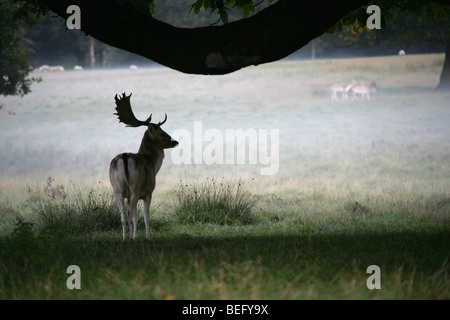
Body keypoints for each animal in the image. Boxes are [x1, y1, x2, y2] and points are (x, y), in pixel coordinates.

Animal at [108, 92, 178, 240]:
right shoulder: (148, 192)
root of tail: (124, 158)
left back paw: (125, 238)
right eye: (162, 133)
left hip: (117, 189)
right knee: (130, 214)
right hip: (135, 187)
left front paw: (134, 236)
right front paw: (147, 236)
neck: (153, 164)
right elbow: (145, 217)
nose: (175, 141)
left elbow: (135, 217)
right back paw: (130, 238)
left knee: (123, 215)